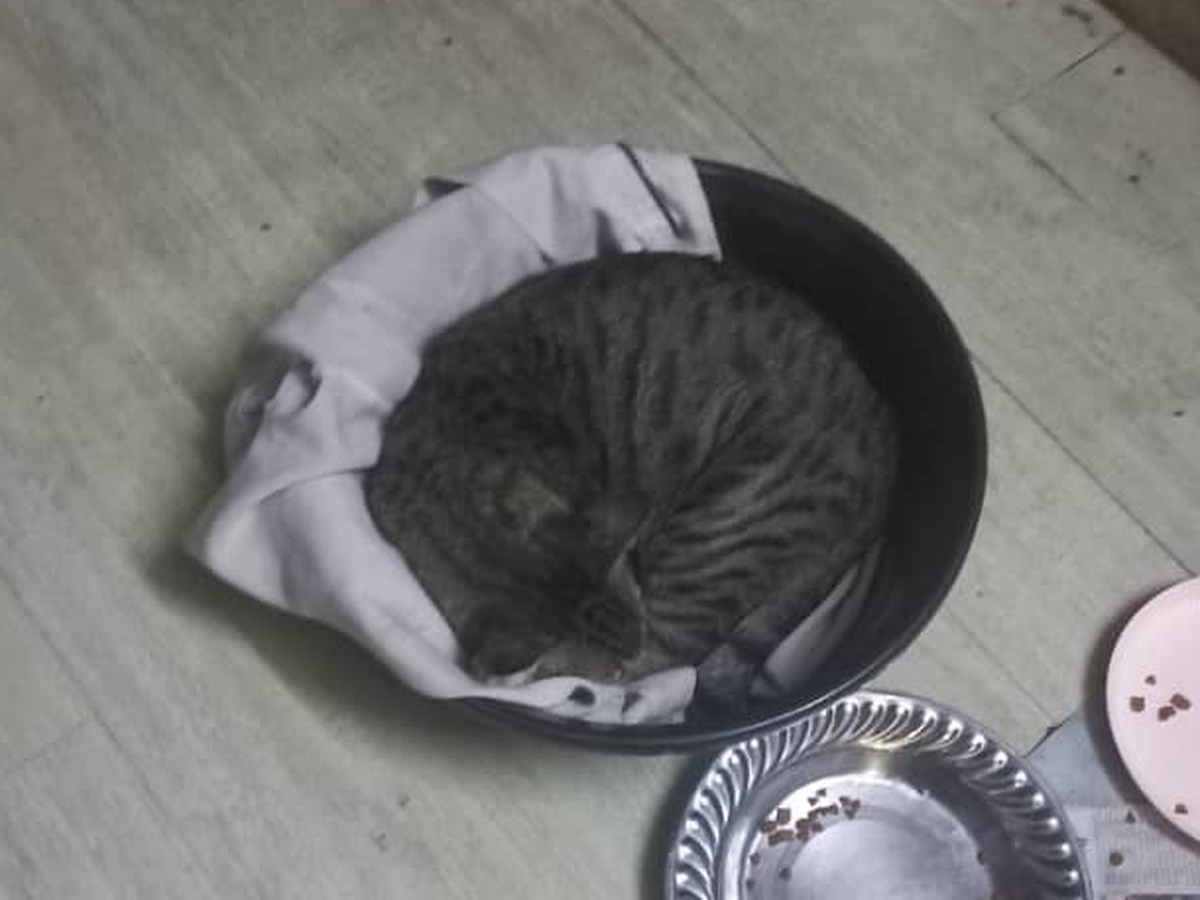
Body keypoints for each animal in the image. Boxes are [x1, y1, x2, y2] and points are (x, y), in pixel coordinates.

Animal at [365, 252, 897, 713]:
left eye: (617, 668)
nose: (625, 659)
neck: (449, 460)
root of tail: (883, 455)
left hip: (718, 537)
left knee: (680, 659)